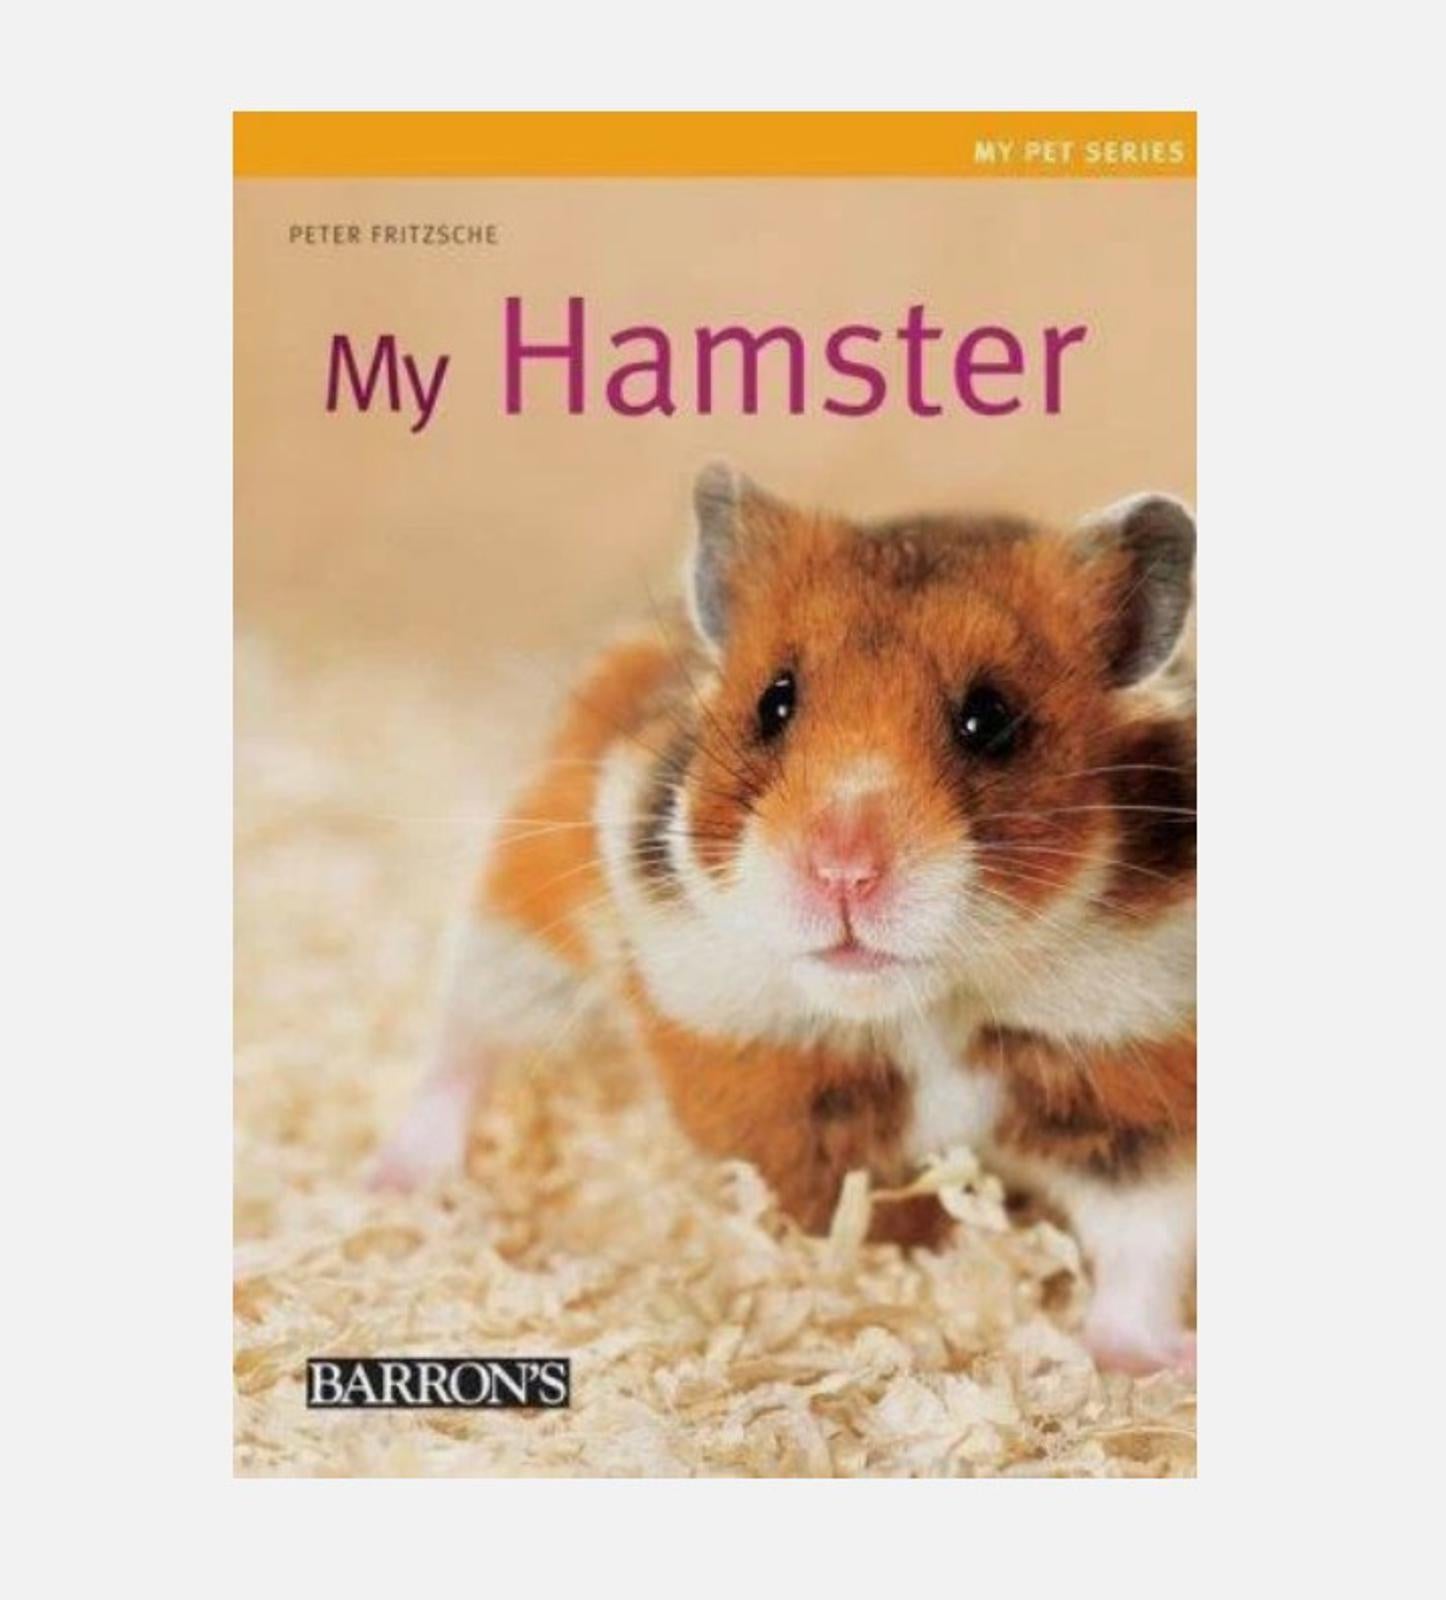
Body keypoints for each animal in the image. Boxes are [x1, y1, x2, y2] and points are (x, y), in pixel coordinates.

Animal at [373, 465, 1197, 1376]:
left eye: (991, 720)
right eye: (775, 702)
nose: (842, 872)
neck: (922, 1007)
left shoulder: (1137, 1099)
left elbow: (1144, 1246)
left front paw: (1157, 1361)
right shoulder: (765, 1085)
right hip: (518, 933)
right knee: (464, 1048)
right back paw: (398, 1182)